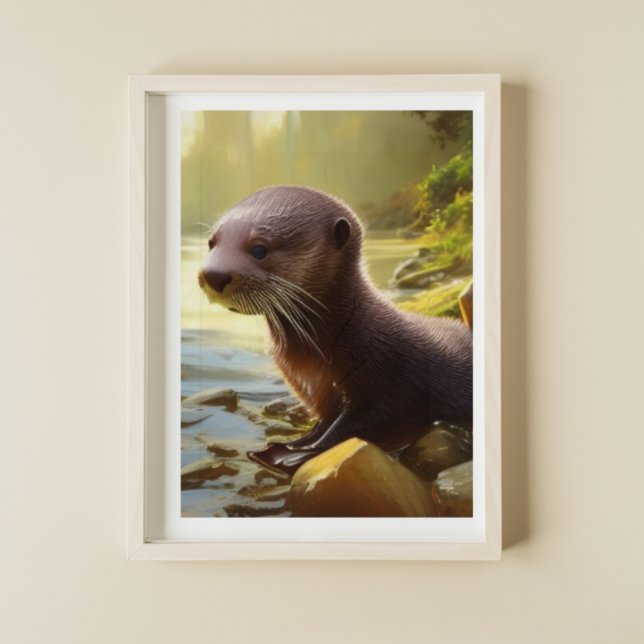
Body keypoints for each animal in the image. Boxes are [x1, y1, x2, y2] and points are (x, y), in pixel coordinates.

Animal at [198, 185, 472, 476]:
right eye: (212, 242)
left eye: (260, 249)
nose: (212, 274)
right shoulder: (321, 393)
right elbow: (322, 425)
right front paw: (293, 445)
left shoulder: (394, 383)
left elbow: (365, 425)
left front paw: (291, 456)